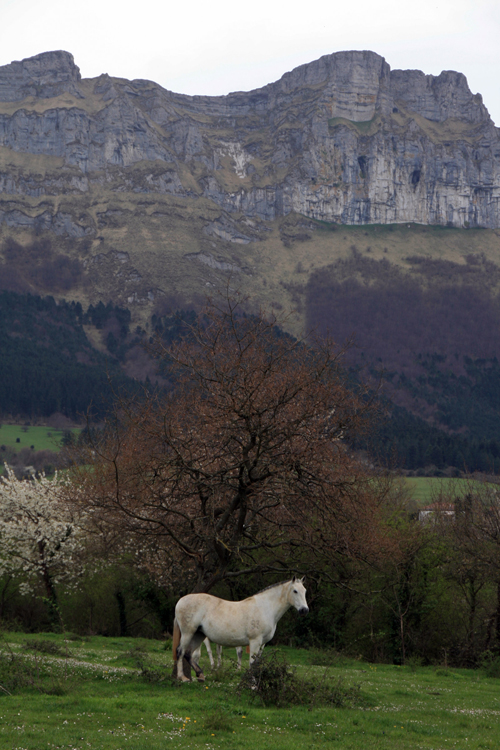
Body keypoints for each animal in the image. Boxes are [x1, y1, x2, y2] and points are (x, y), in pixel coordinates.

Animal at [172, 580, 306, 684]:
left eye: (304, 591)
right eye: (295, 591)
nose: (304, 610)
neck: (265, 608)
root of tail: (180, 601)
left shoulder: (262, 644)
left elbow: (257, 663)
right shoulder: (255, 641)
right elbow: (252, 663)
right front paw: (252, 685)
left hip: (199, 634)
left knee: (188, 653)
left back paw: (200, 675)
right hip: (188, 633)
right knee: (180, 651)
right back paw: (182, 678)